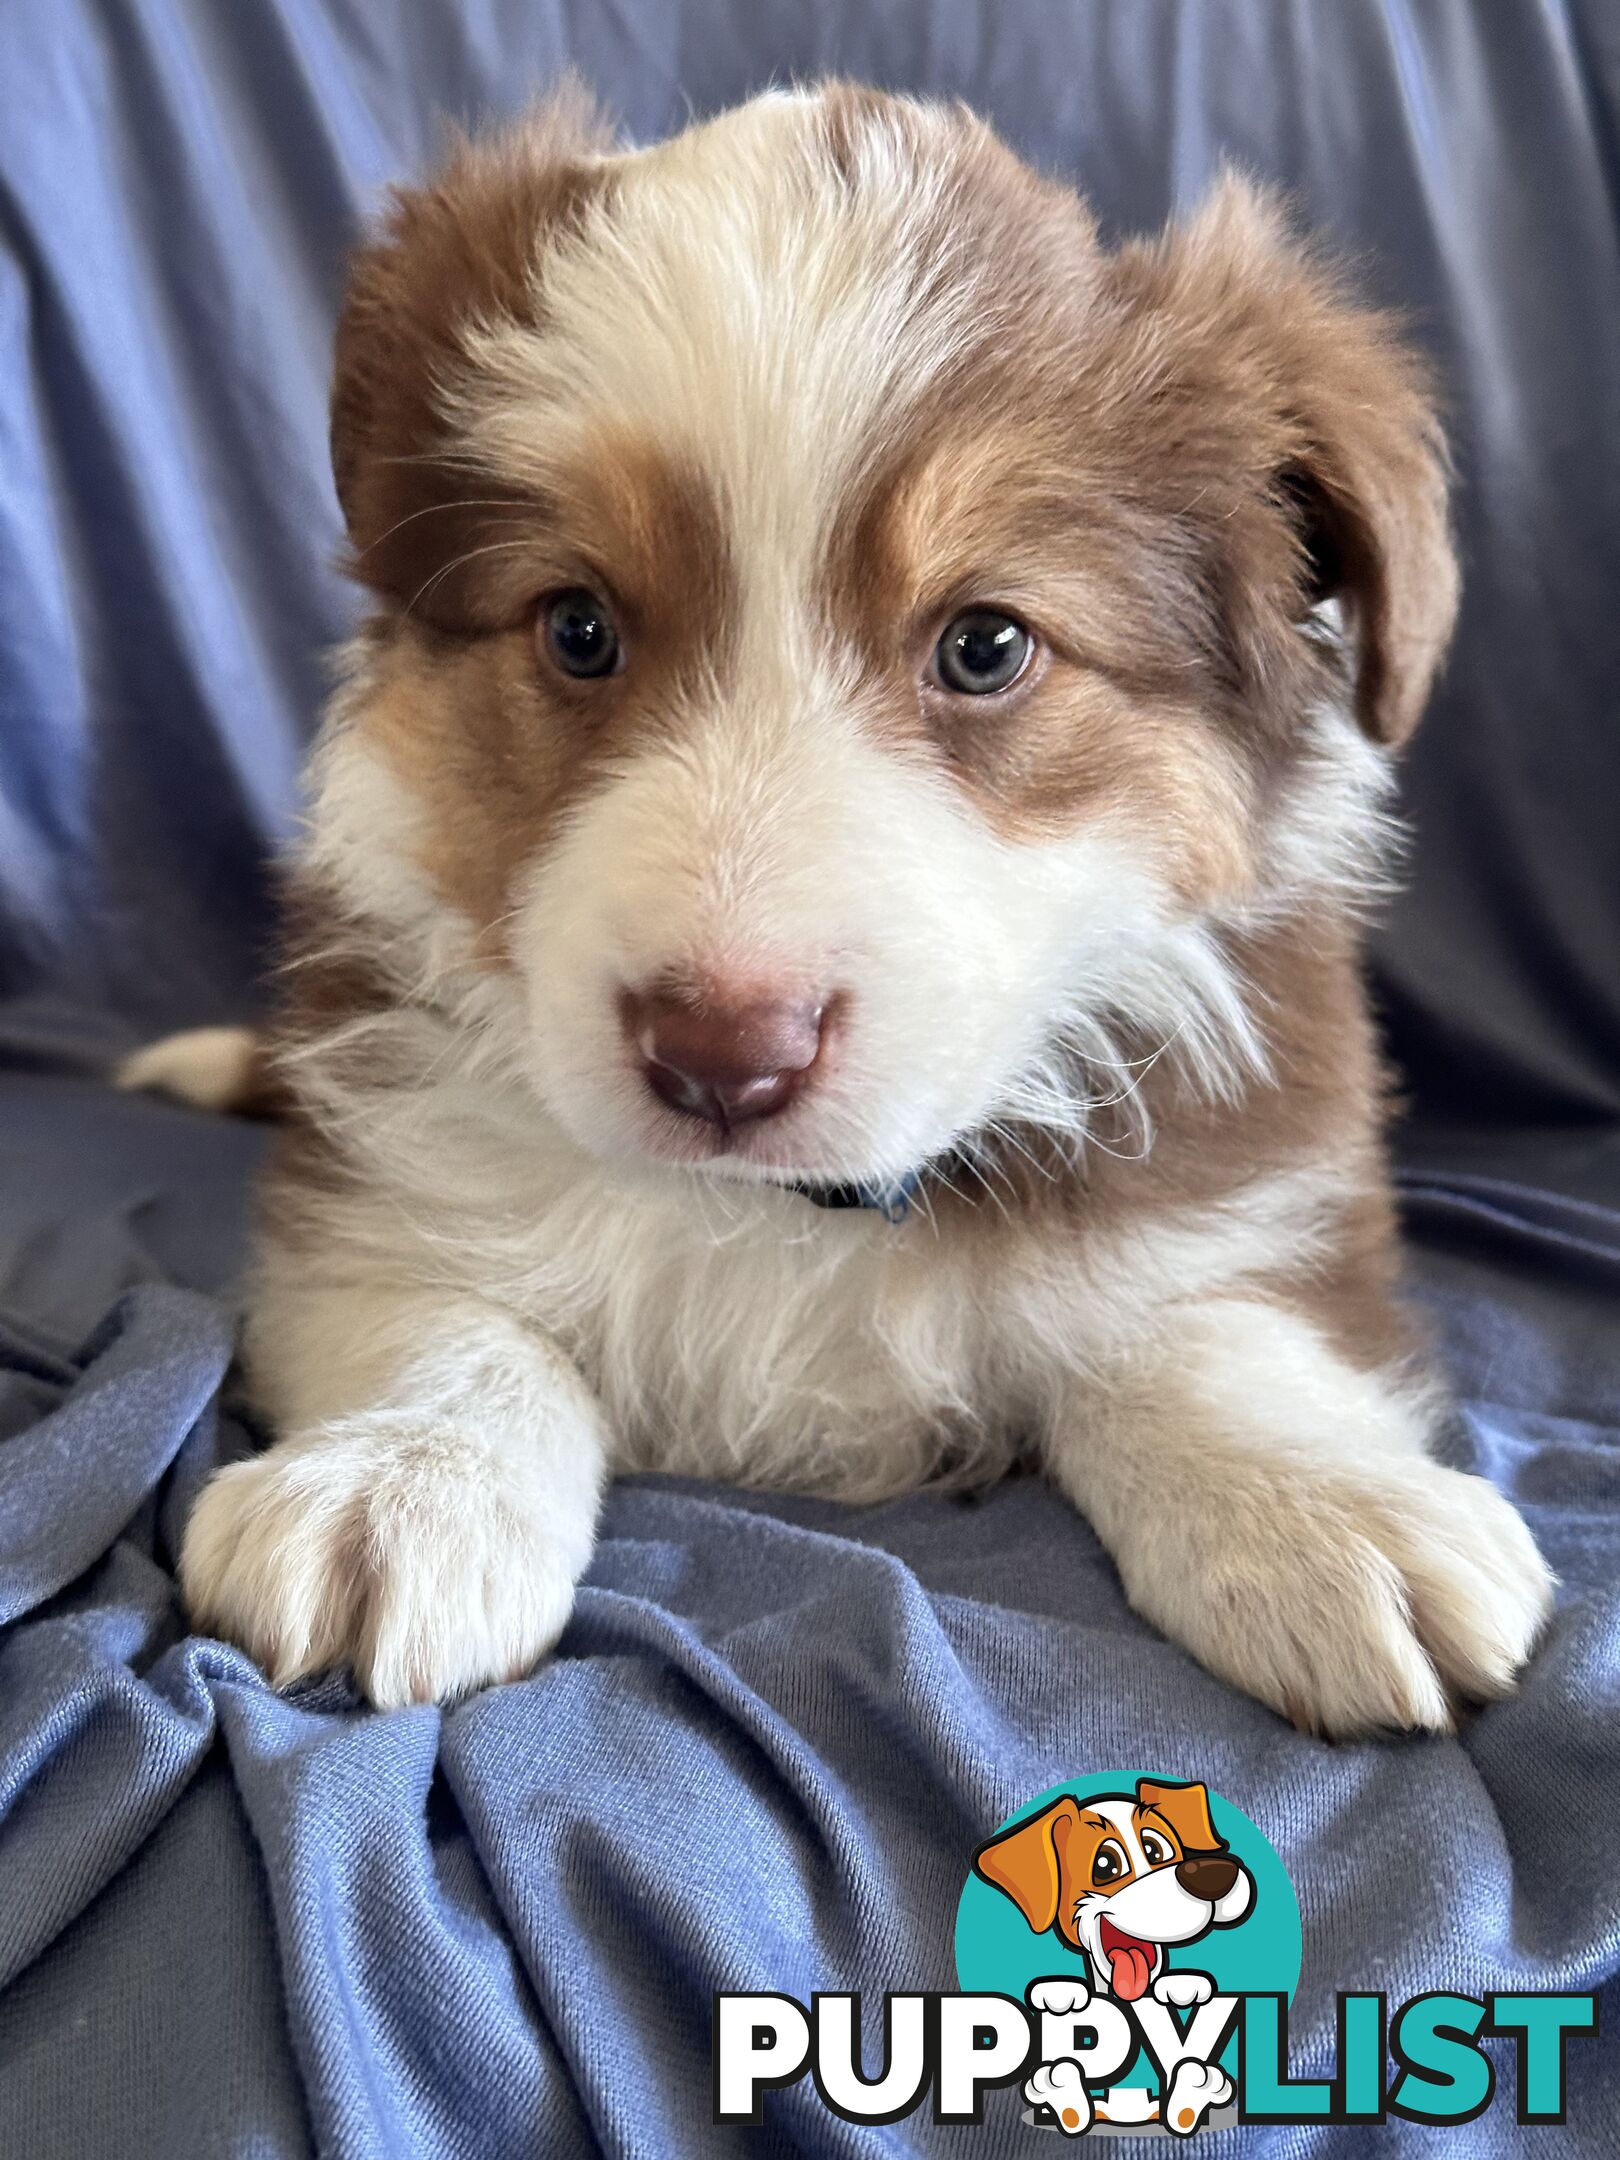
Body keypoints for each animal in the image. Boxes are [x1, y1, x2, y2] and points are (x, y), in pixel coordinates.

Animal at [120, 84, 1555, 1728]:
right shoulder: (376, 1165)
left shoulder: (1257, 1149)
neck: (795, 1212)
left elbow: (1209, 1324)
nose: (720, 1056)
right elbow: (442, 1303)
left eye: (987, 645)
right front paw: (402, 1483)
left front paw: (1324, 1508)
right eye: (578, 628)